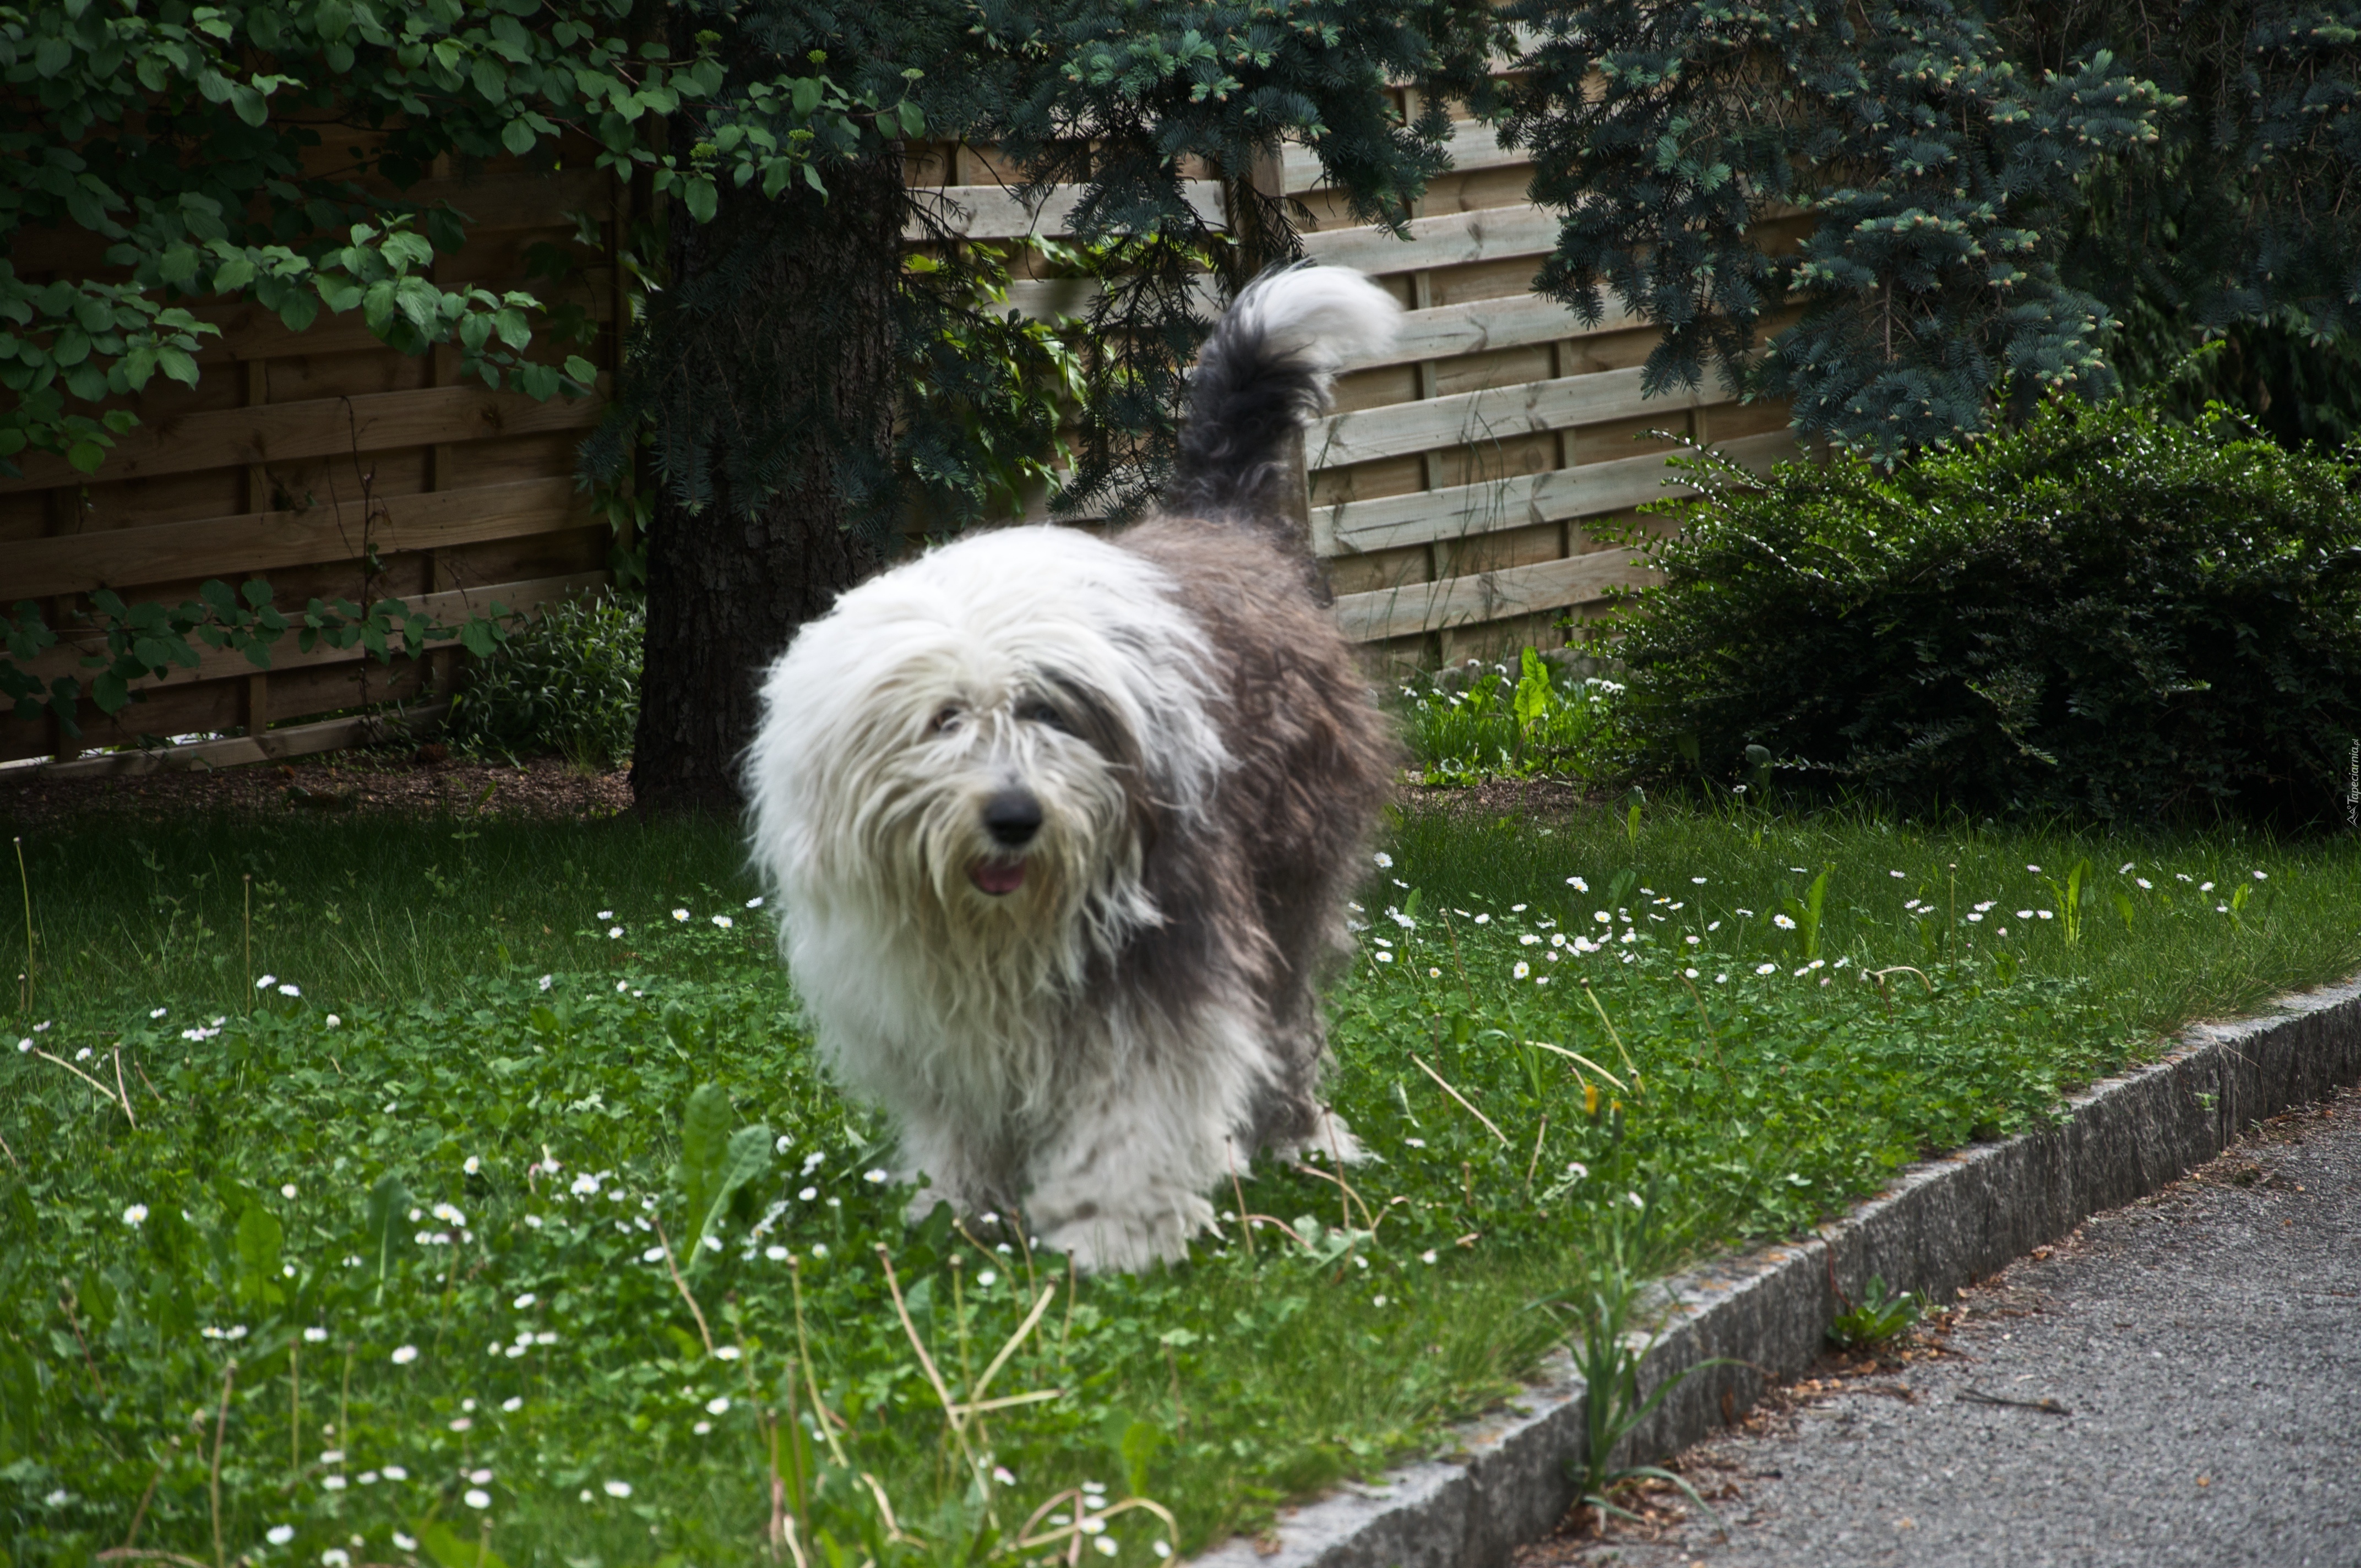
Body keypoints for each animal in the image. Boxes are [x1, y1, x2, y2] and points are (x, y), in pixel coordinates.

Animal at [746, 266, 1388, 1275]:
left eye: (1048, 711)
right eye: (945, 720)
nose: (1015, 818)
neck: (1001, 927)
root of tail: (1227, 523)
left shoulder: (1162, 950)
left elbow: (1135, 1105)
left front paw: (1113, 1230)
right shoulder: (931, 995)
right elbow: (963, 1107)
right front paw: (960, 1204)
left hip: (1289, 873)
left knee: (1286, 1022)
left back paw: (1297, 1139)